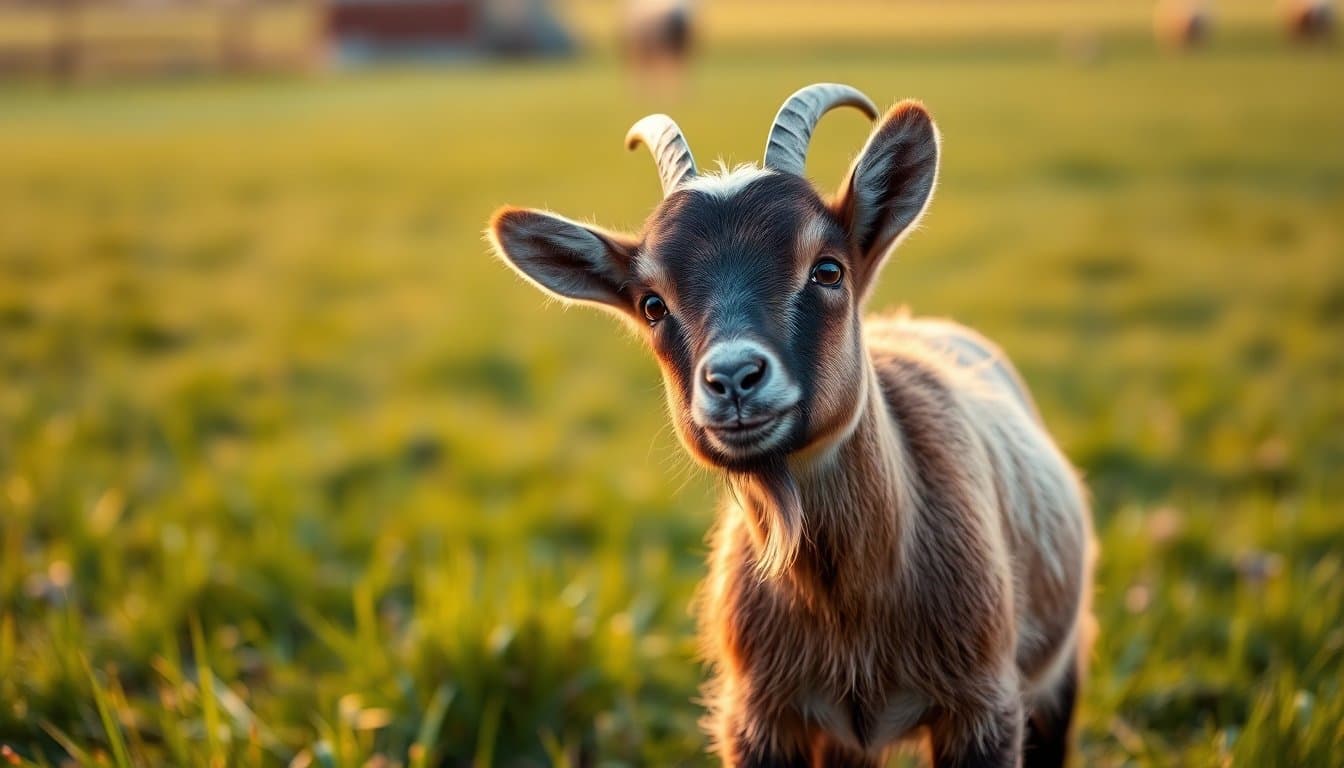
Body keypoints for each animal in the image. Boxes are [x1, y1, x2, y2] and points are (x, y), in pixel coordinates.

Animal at [487, 83, 1096, 767]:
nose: (733, 377)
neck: (847, 607)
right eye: (652, 304)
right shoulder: (757, 716)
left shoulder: (983, 708)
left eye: (827, 269)